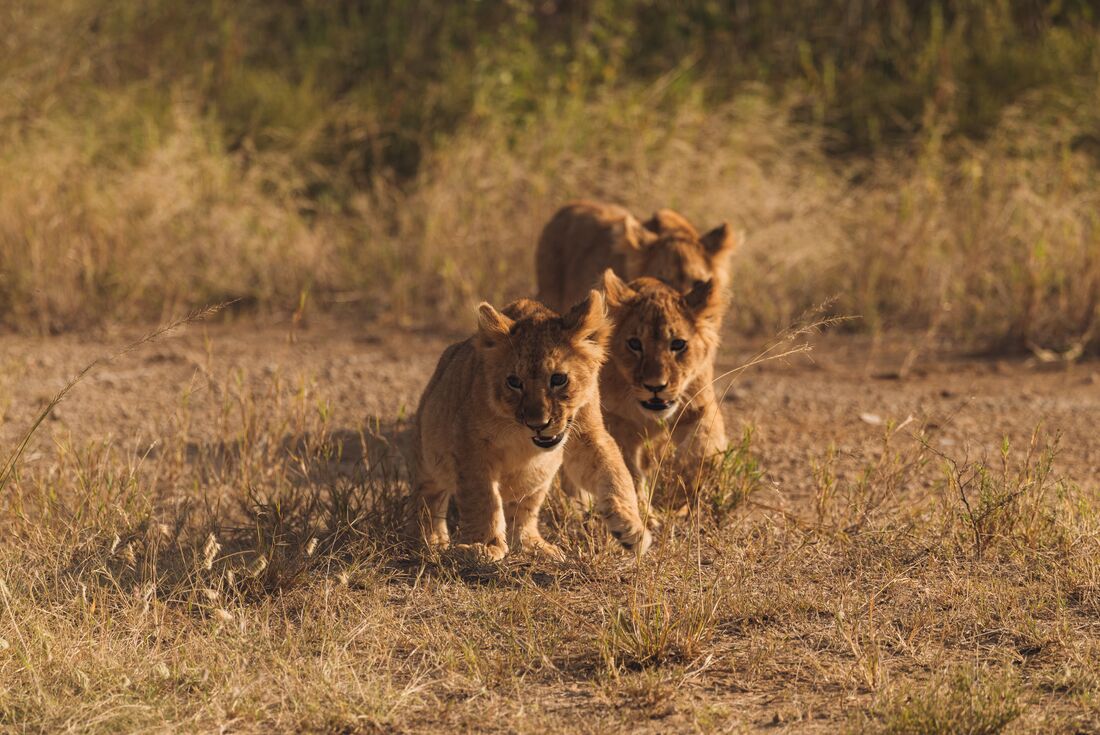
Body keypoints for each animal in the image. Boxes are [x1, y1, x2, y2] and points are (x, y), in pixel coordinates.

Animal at [407, 290, 652, 562]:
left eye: (558, 379)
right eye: (514, 382)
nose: (538, 424)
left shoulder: (588, 435)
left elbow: (615, 474)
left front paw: (633, 530)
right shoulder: (468, 440)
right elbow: (482, 497)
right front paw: (485, 546)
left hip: (536, 479)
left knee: (522, 512)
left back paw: (533, 545)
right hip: (429, 454)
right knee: (429, 496)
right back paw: (430, 540)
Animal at [562, 270, 727, 510]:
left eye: (678, 344)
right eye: (634, 344)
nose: (655, 386)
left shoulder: (699, 404)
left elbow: (703, 443)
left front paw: (684, 485)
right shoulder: (614, 421)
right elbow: (627, 469)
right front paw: (645, 508)